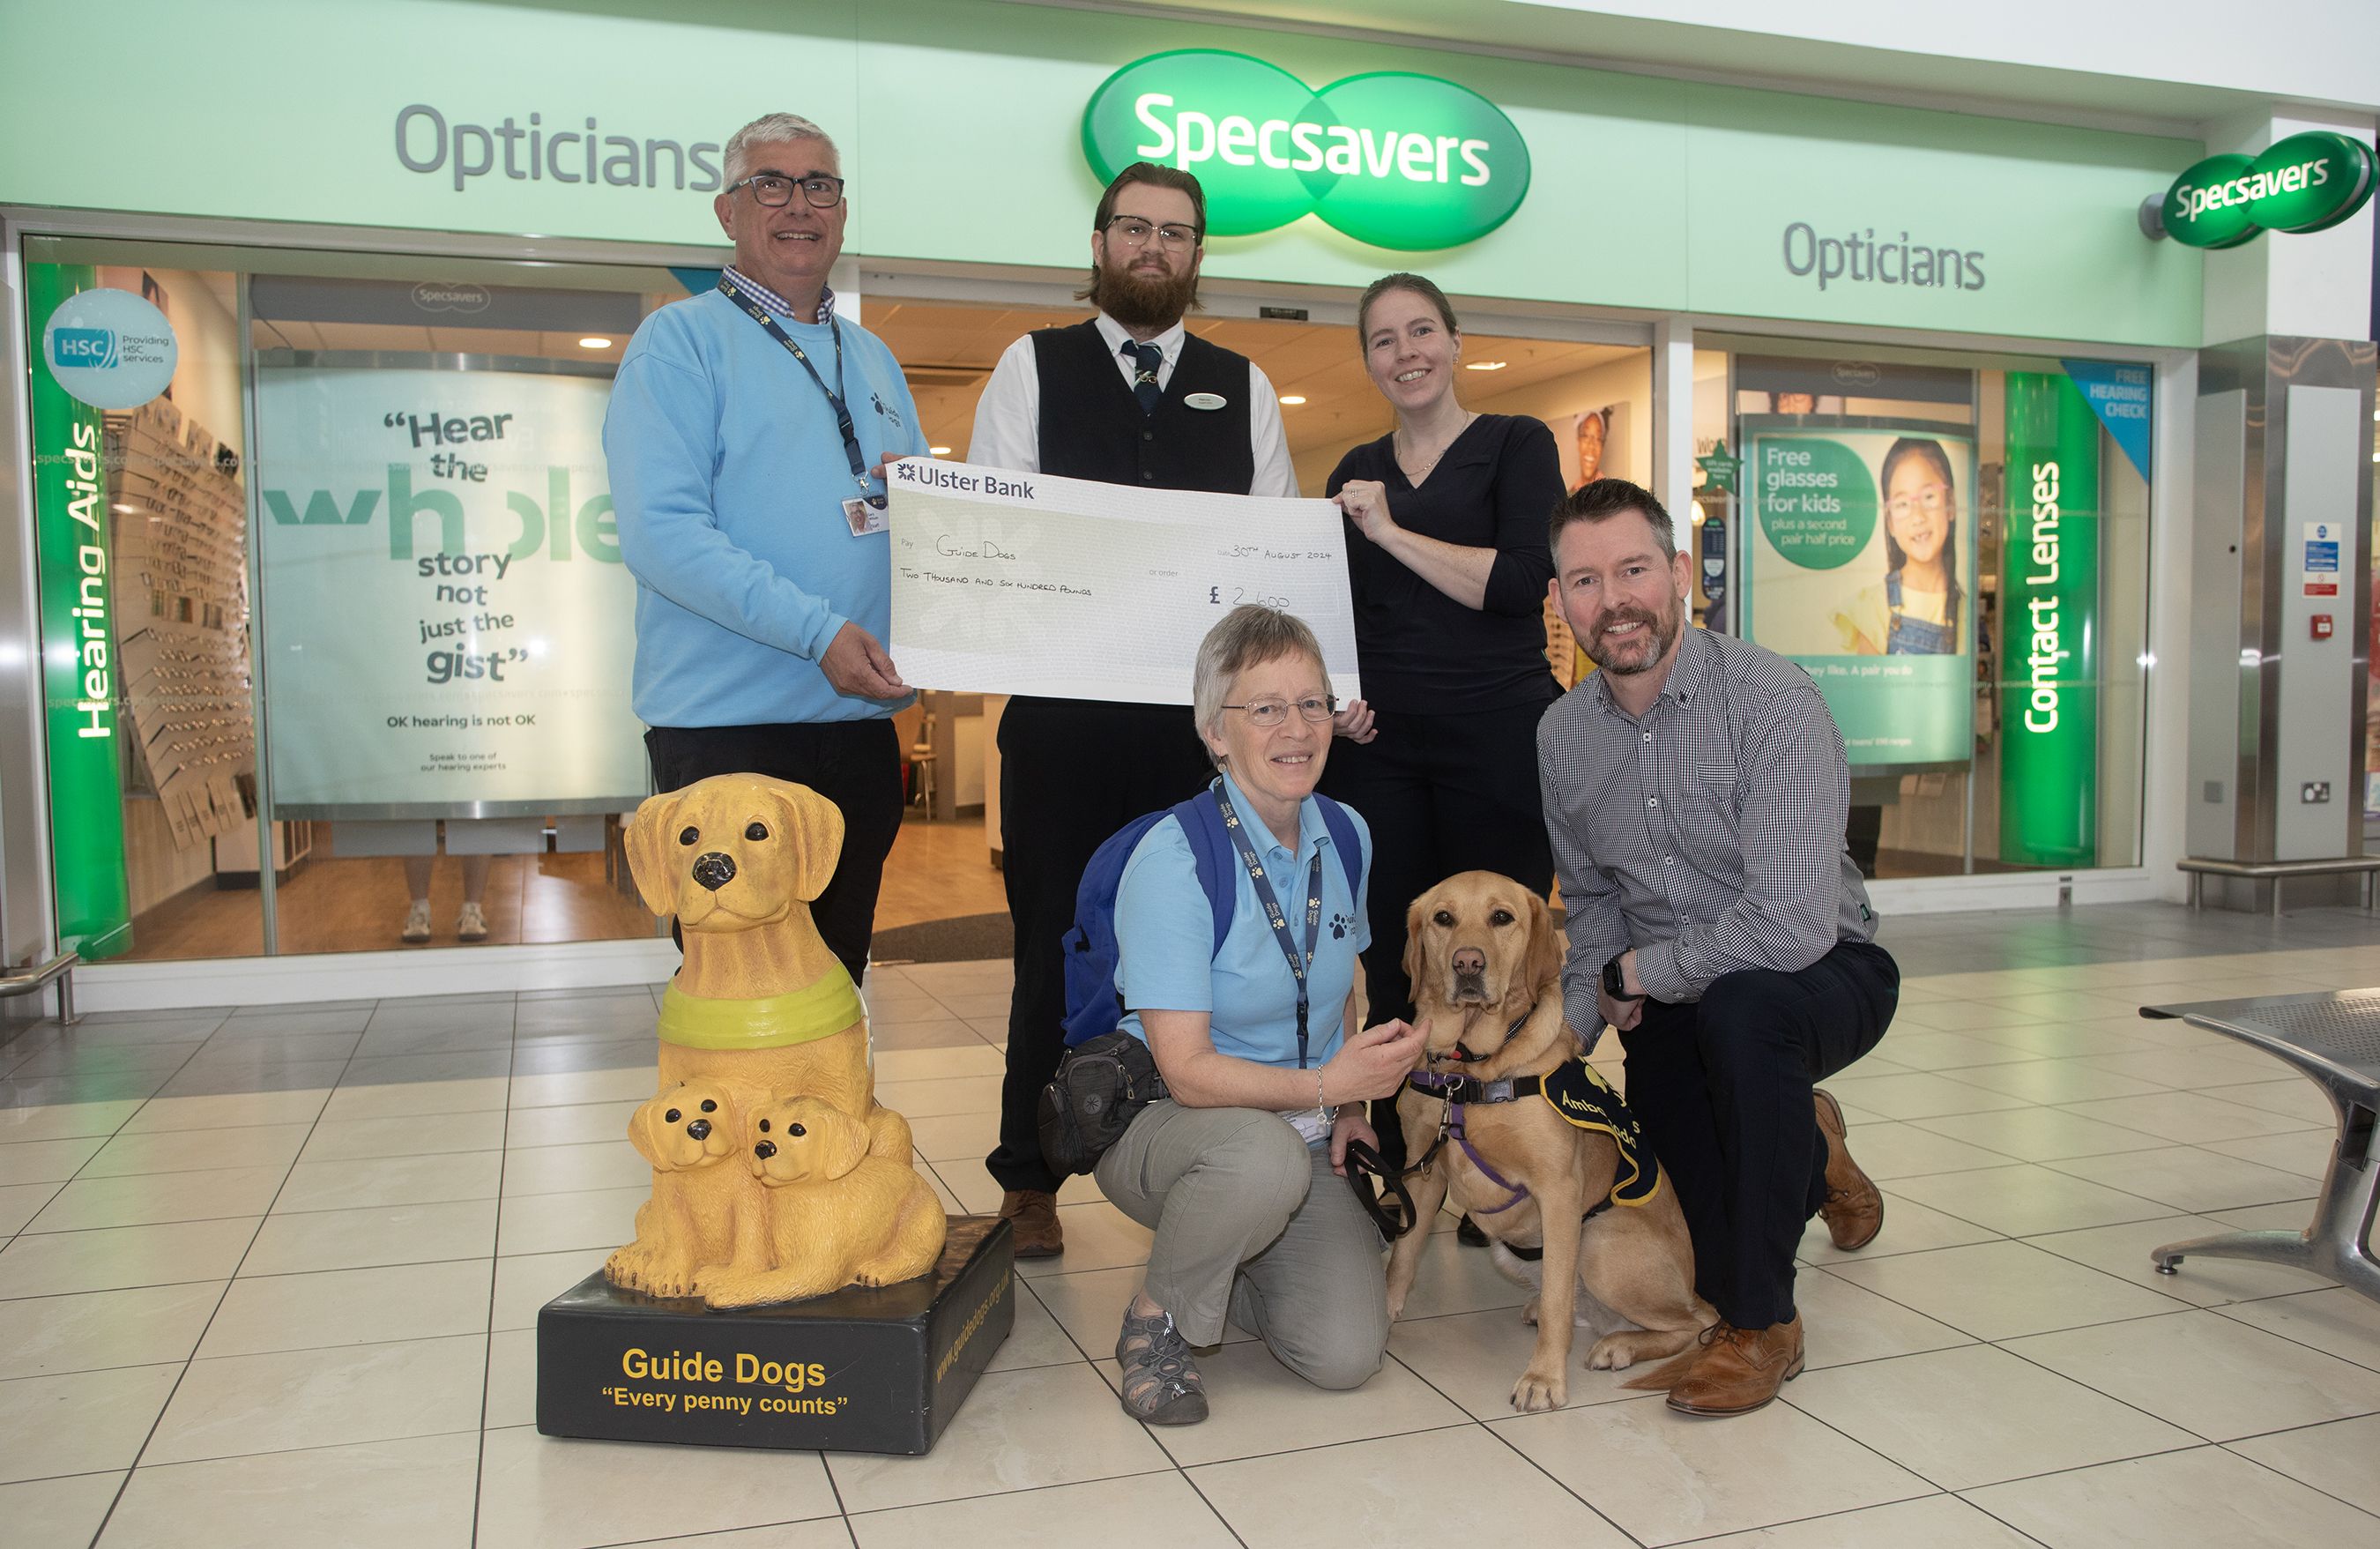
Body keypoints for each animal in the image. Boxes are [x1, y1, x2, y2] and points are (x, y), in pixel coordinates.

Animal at [1389, 870, 1722, 1418]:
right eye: (1443, 918)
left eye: (1501, 917)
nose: (1467, 963)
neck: (1471, 1072)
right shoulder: (1423, 1171)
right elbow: (1402, 1255)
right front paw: (1383, 1313)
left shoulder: (1559, 1192)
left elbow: (1556, 1305)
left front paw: (1543, 1378)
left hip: (1599, 1242)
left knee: (1691, 1323)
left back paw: (1618, 1345)